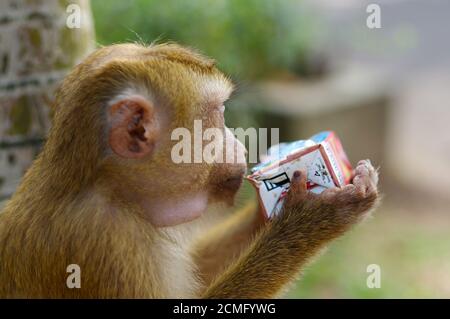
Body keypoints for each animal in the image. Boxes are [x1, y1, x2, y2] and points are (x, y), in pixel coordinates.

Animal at [0, 43, 380, 300]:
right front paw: (311, 221)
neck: (112, 190)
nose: (240, 146)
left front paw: (266, 213)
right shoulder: (105, 245)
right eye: (218, 114)